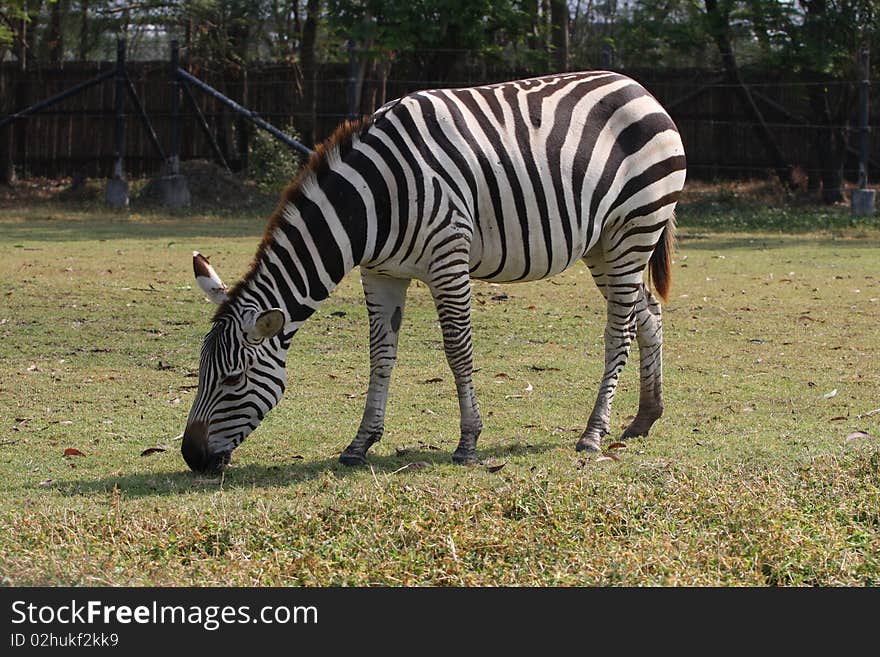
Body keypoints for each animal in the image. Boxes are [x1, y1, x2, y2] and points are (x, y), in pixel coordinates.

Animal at [180, 70, 688, 472]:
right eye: (200, 372)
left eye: (232, 380)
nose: (191, 456)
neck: (372, 203)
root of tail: (639, 88)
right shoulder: (380, 274)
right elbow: (380, 356)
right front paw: (360, 444)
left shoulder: (448, 260)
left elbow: (457, 350)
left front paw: (468, 442)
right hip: (603, 244)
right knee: (646, 314)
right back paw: (645, 417)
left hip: (633, 227)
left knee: (619, 329)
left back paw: (593, 433)